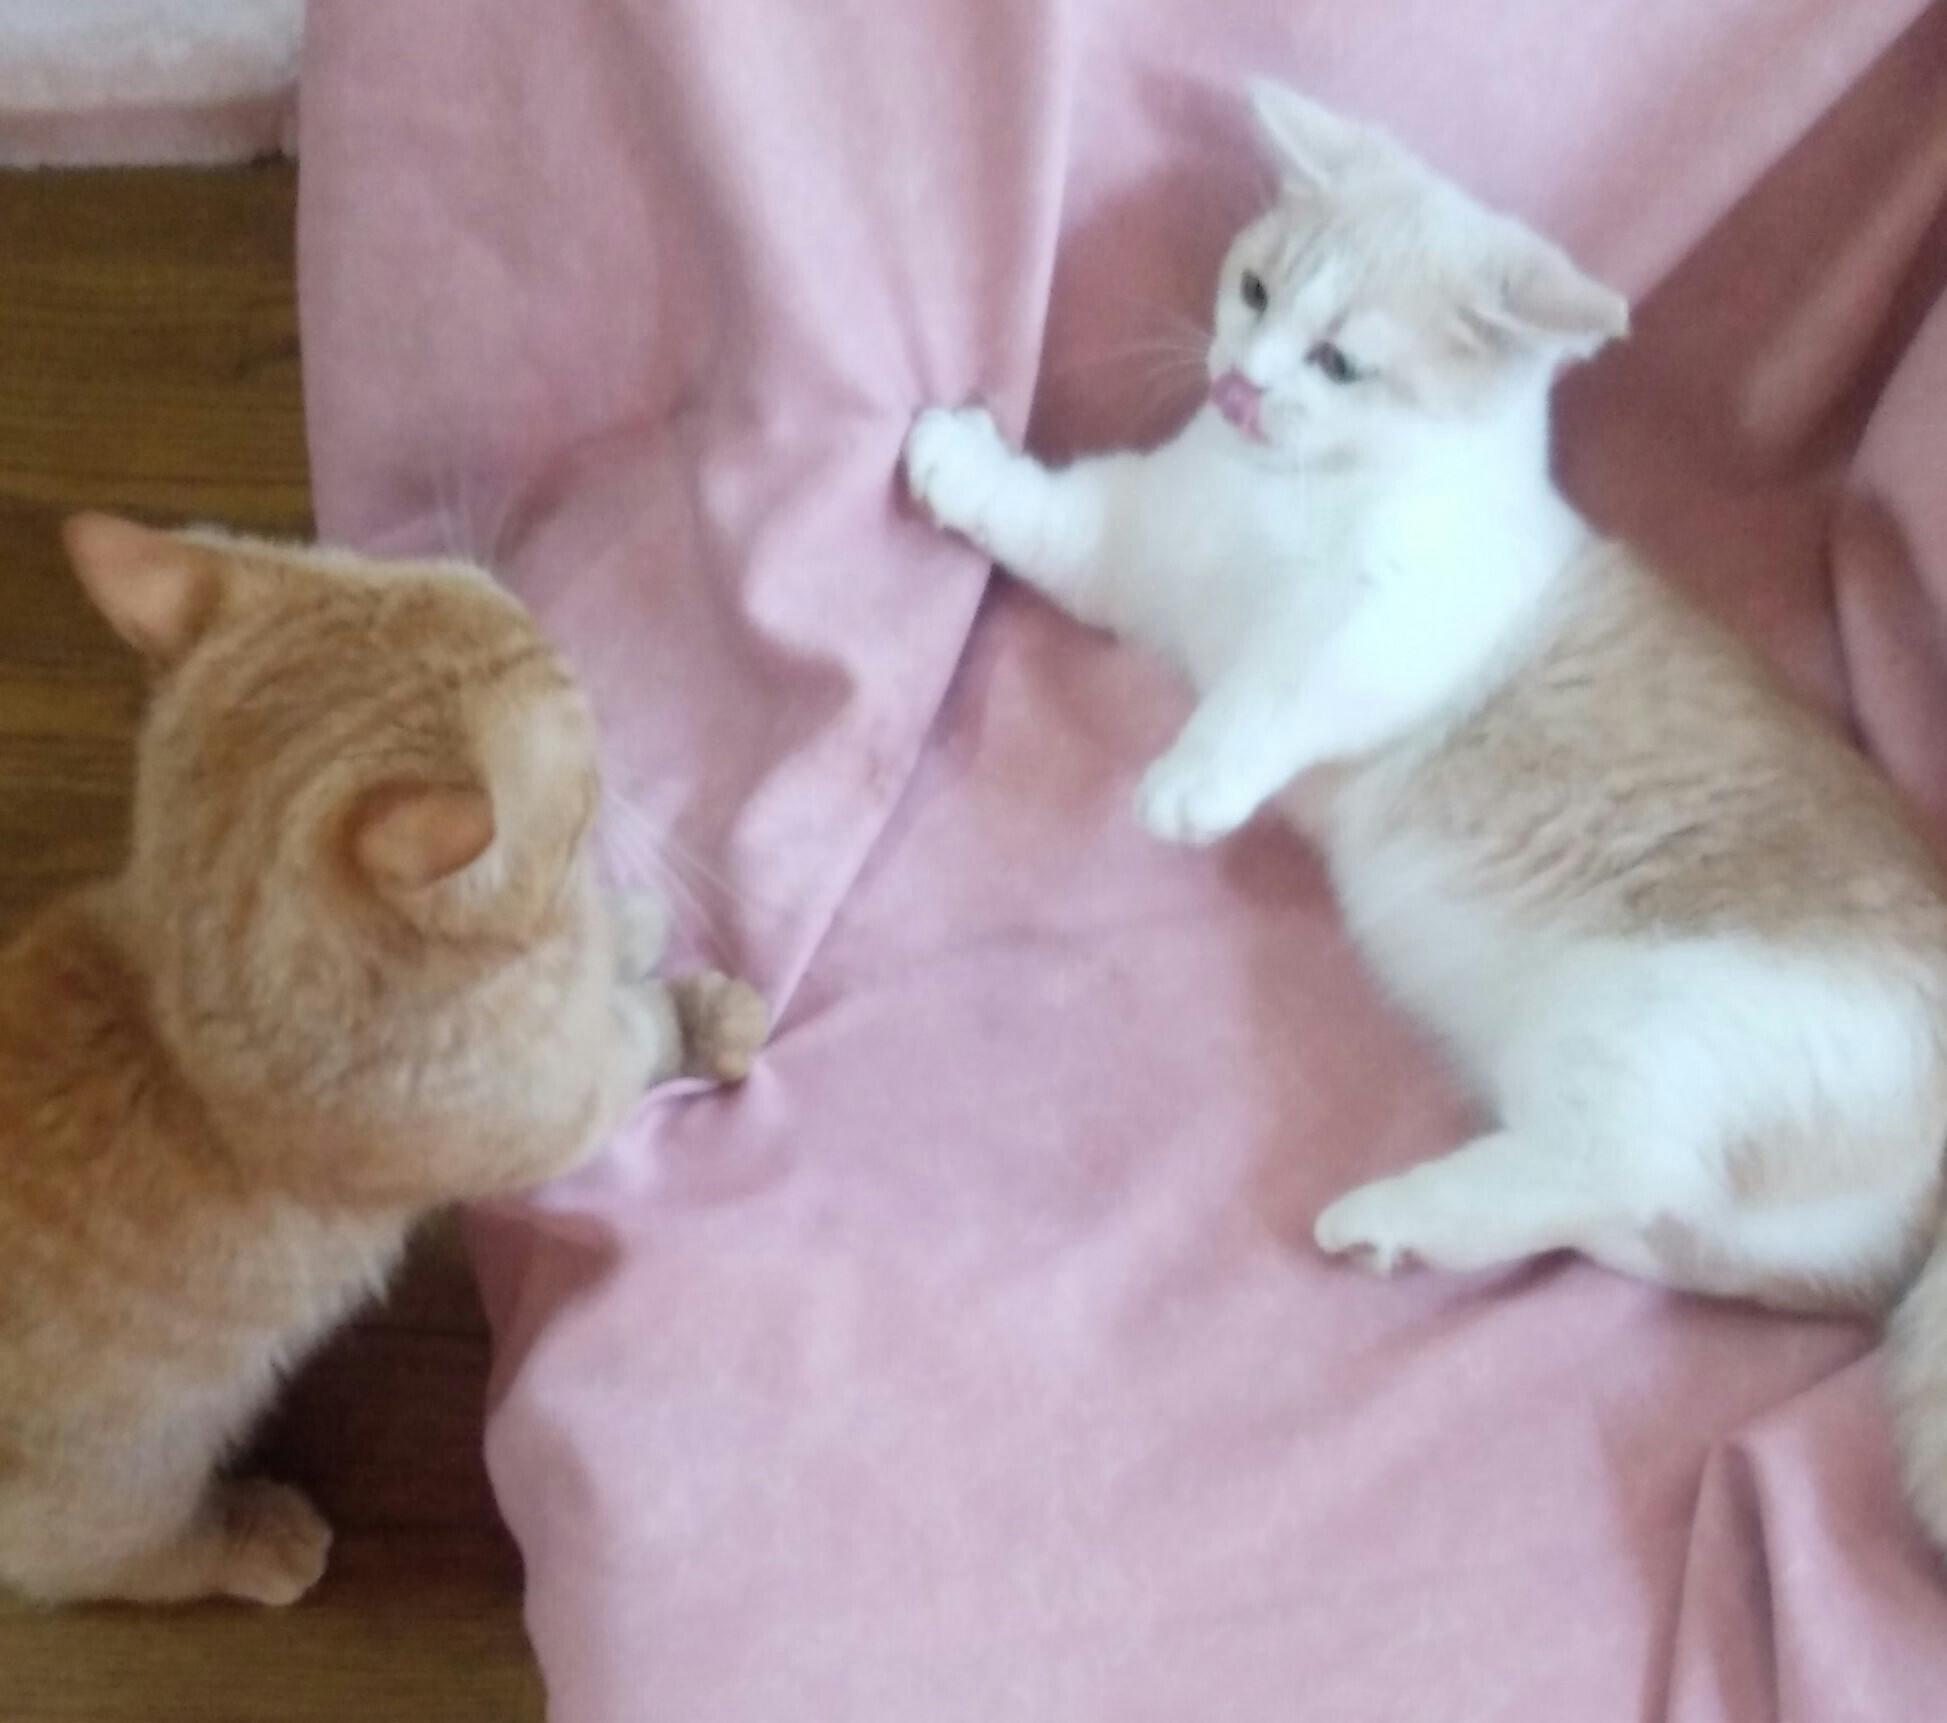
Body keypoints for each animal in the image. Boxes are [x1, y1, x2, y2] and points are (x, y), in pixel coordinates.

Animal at [0, 515, 767, 1606]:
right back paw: (261, 1540)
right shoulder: (557, 1104)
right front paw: (693, 1008)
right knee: (124, 1561)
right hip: (118, 1493)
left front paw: (615, 929)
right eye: (582, 775)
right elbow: (627, 1032)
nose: (584, 666)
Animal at [904, 81, 1947, 1551]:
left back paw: (1388, 1213)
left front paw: (1193, 775)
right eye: (1252, 288)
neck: (1277, 501)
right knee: (1667, 1223)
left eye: (1339, 361)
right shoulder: (1132, 551)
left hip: (1650, 1020)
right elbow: (1046, 515)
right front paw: (957, 460)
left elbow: (1278, 681)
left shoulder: (1387, 624)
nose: (1240, 382)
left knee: (1613, 1168)